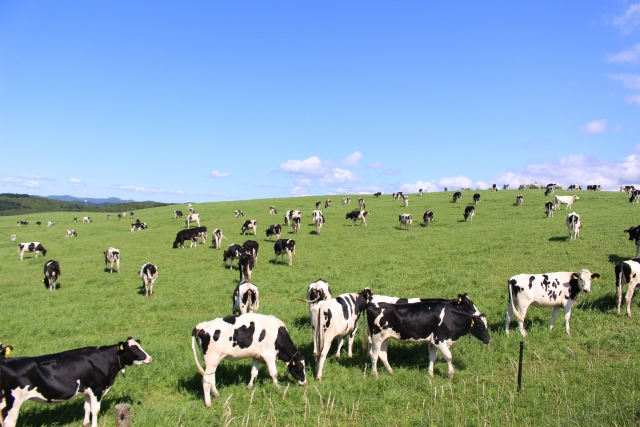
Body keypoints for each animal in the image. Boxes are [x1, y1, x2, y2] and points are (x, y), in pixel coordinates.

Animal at [0, 338, 152, 427]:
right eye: (134, 348)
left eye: (139, 345)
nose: (150, 358)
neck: (105, 359)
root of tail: (5, 361)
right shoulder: (96, 389)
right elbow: (95, 410)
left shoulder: (87, 390)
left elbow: (86, 407)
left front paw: (85, 423)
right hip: (13, 402)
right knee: (9, 422)